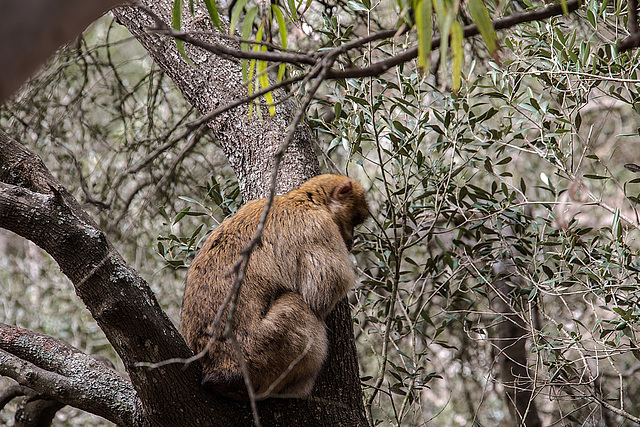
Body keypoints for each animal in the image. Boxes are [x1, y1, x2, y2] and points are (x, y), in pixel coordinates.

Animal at [180, 174, 370, 402]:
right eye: (354, 220)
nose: (350, 240)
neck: (303, 199)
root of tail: (219, 369)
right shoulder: (319, 227)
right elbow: (321, 293)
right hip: (260, 352)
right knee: (298, 304)